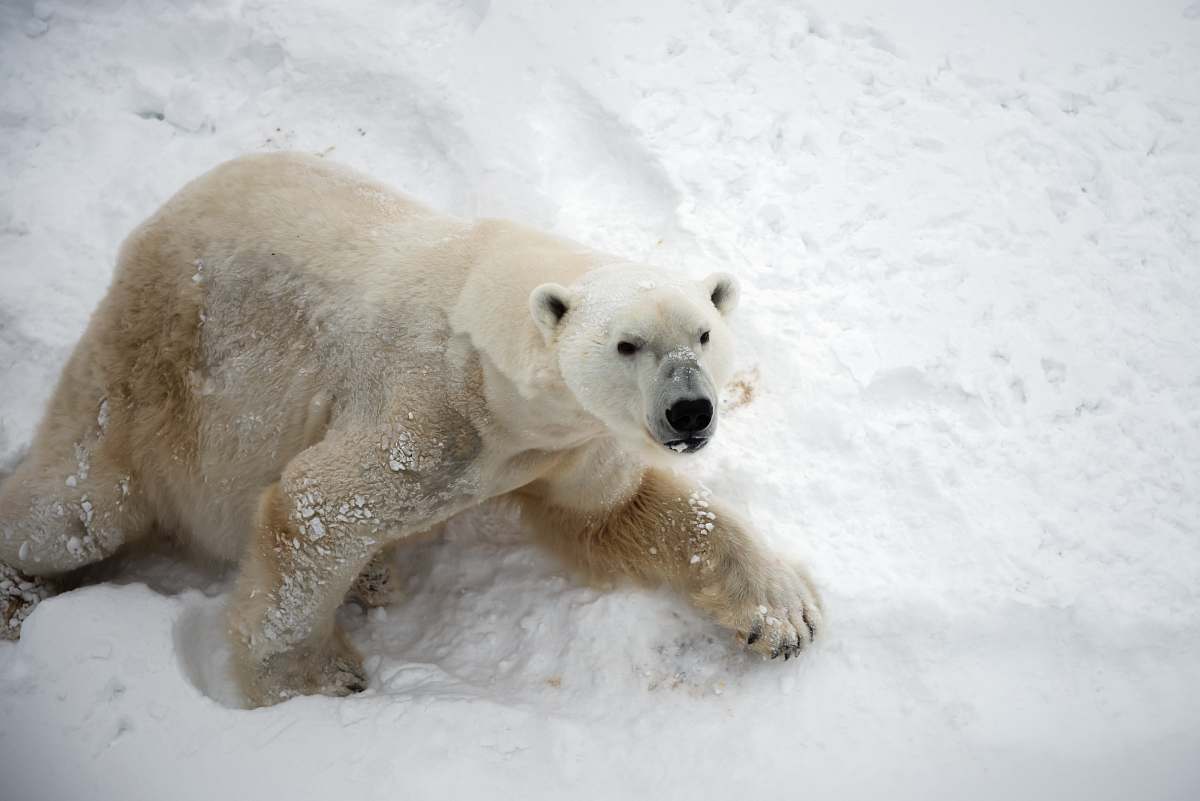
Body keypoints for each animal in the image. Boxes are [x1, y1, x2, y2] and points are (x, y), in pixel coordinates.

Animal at [0, 153, 820, 705]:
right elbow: (316, 506)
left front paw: (783, 613)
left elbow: (615, 511)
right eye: (628, 344)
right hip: (152, 373)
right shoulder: (429, 415)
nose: (691, 411)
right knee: (76, 509)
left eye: (704, 333)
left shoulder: (570, 444)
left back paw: (374, 573)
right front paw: (316, 677)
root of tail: (148, 233)